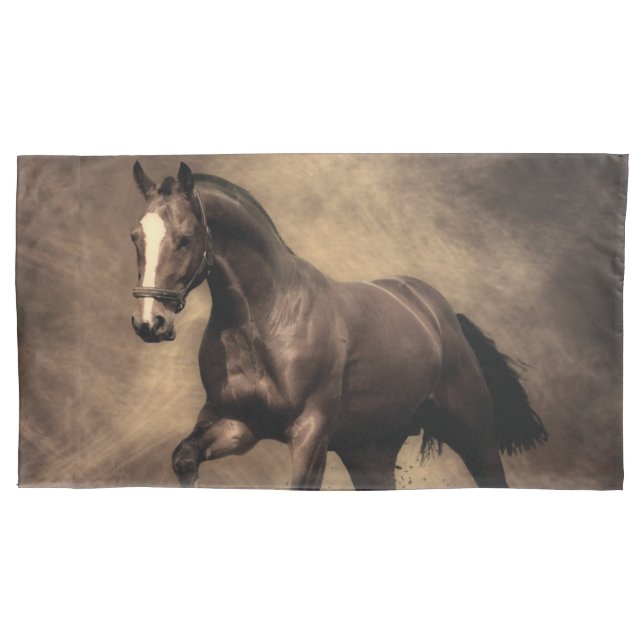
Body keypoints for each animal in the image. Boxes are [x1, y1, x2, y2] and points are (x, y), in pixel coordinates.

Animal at [130, 161, 547, 489]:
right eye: (136, 237)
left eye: (185, 239)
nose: (149, 322)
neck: (266, 319)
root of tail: (439, 312)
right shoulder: (237, 423)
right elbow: (184, 458)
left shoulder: (310, 432)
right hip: (370, 452)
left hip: (474, 433)